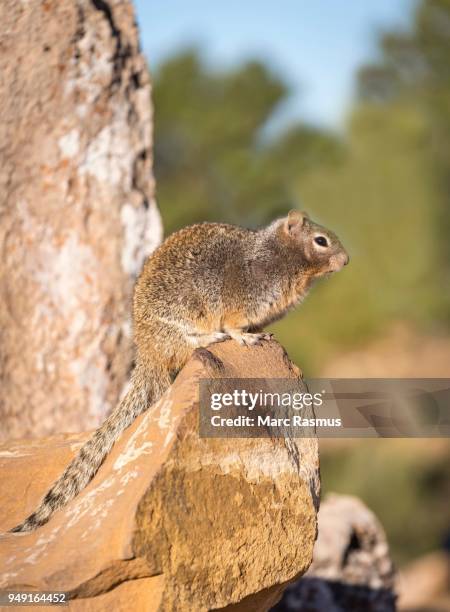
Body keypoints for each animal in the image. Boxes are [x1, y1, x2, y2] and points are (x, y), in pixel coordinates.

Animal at [9, 209, 348, 532]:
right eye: (321, 241)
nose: (346, 260)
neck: (279, 255)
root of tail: (147, 352)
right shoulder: (245, 297)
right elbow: (235, 323)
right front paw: (246, 337)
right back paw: (211, 338)